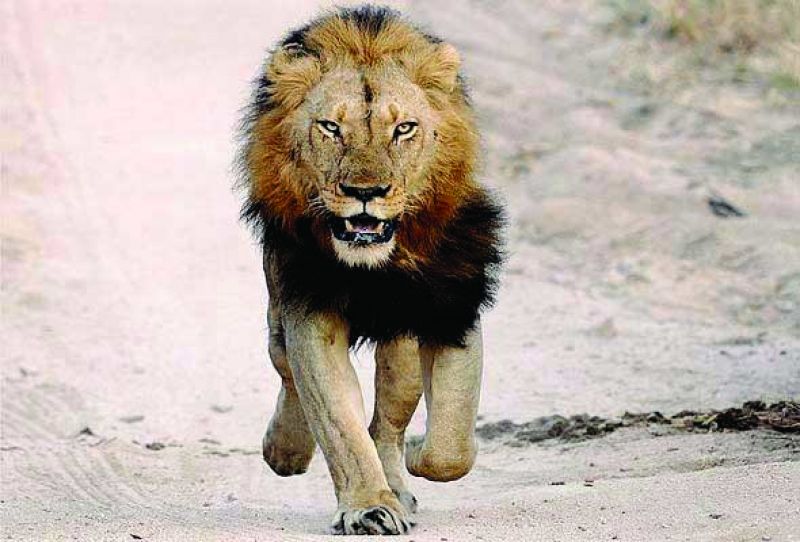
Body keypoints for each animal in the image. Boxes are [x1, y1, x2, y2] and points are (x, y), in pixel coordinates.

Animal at [237, 5, 503, 535]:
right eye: (330, 128)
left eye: (403, 129)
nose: (367, 191)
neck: (375, 266)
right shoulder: (309, 315)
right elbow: (340, 427)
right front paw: (368, 508)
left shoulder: (453, 307)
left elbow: (452, 445)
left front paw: (419, 459)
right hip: (277, 318)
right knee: (289, 374)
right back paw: (286, 450)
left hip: (402, 352)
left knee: (387, 423)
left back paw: (400, 482)